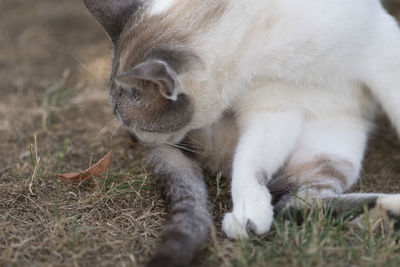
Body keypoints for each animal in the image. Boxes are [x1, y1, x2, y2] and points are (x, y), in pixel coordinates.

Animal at [83, 0, 400, 266]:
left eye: (132, 124)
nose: (134, 139)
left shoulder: (382, 54)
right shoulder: (272, 108)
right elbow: (248, 165)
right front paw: (250, 216)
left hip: (334, 146)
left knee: (300, 200)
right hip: (330, 148)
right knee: (294, 203)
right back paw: (389, 214)